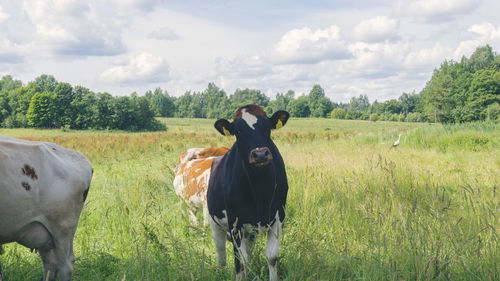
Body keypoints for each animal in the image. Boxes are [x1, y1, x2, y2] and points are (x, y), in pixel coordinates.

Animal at [206, 104, 290, 280]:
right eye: (238, 131)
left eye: (267, 127)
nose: (260, 154)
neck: (260, 189)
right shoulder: (234, 221)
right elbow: (240, 261)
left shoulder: (279, 215)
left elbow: (272, 257)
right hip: (215, 223)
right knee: (221, 254)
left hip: (250, 232)